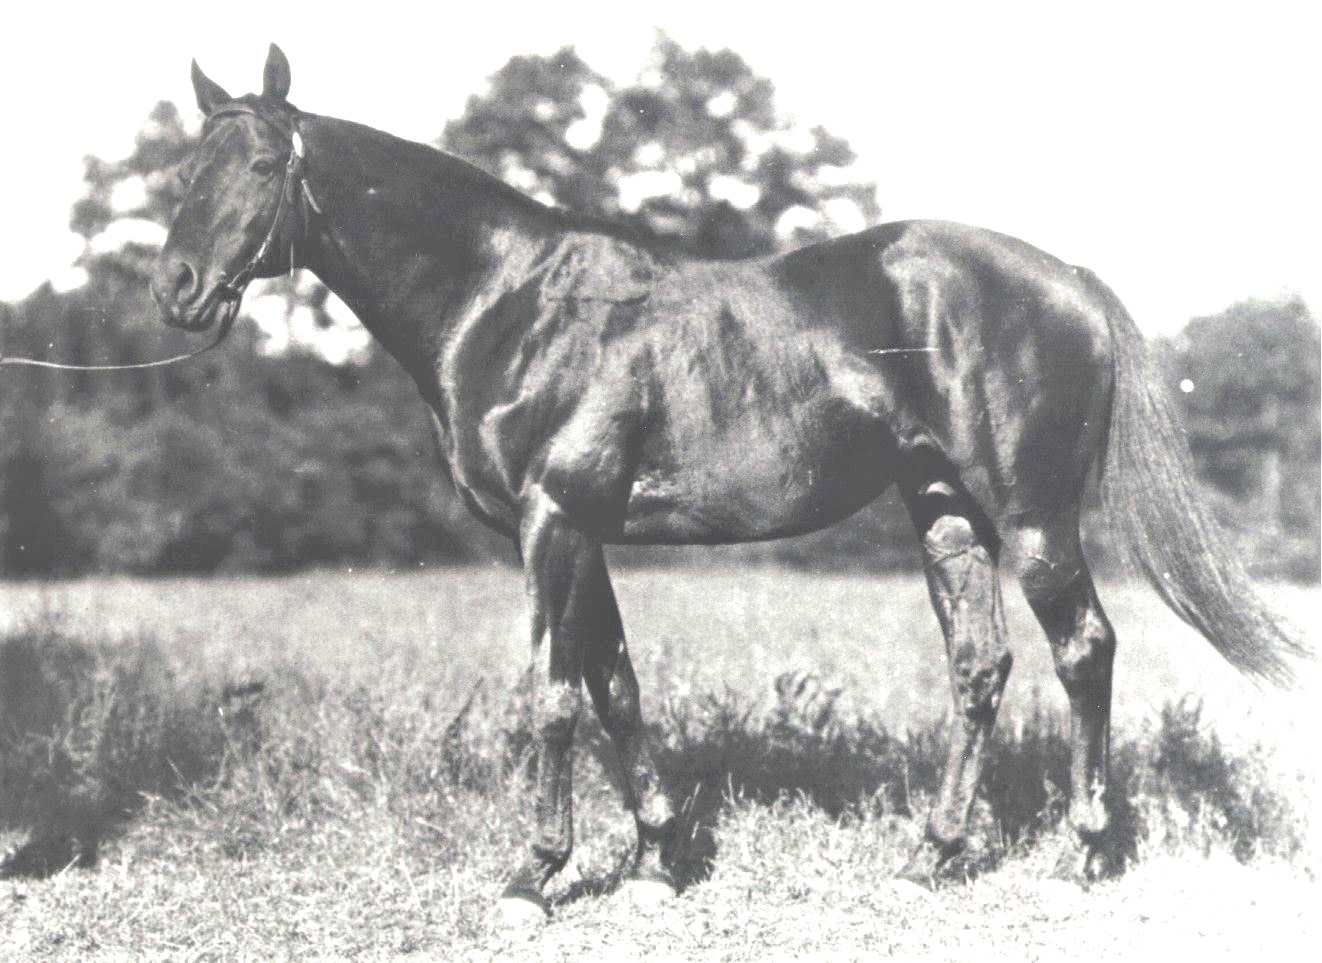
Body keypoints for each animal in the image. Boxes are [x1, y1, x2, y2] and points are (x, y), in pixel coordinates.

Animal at [152, 46, 1300, 925]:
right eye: (184, 170)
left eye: (262, 163)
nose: (175, 289)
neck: (514, 304)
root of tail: (1066, 278)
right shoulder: (582, 532)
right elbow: (614, 687)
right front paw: (657, 863)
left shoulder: (551, 523)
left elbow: (553, 698)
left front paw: (534, 877)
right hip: (944, 508)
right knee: (980, 667)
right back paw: (927, 856)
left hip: (1031, 519)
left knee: (1083, 651)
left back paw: (1077, 858)